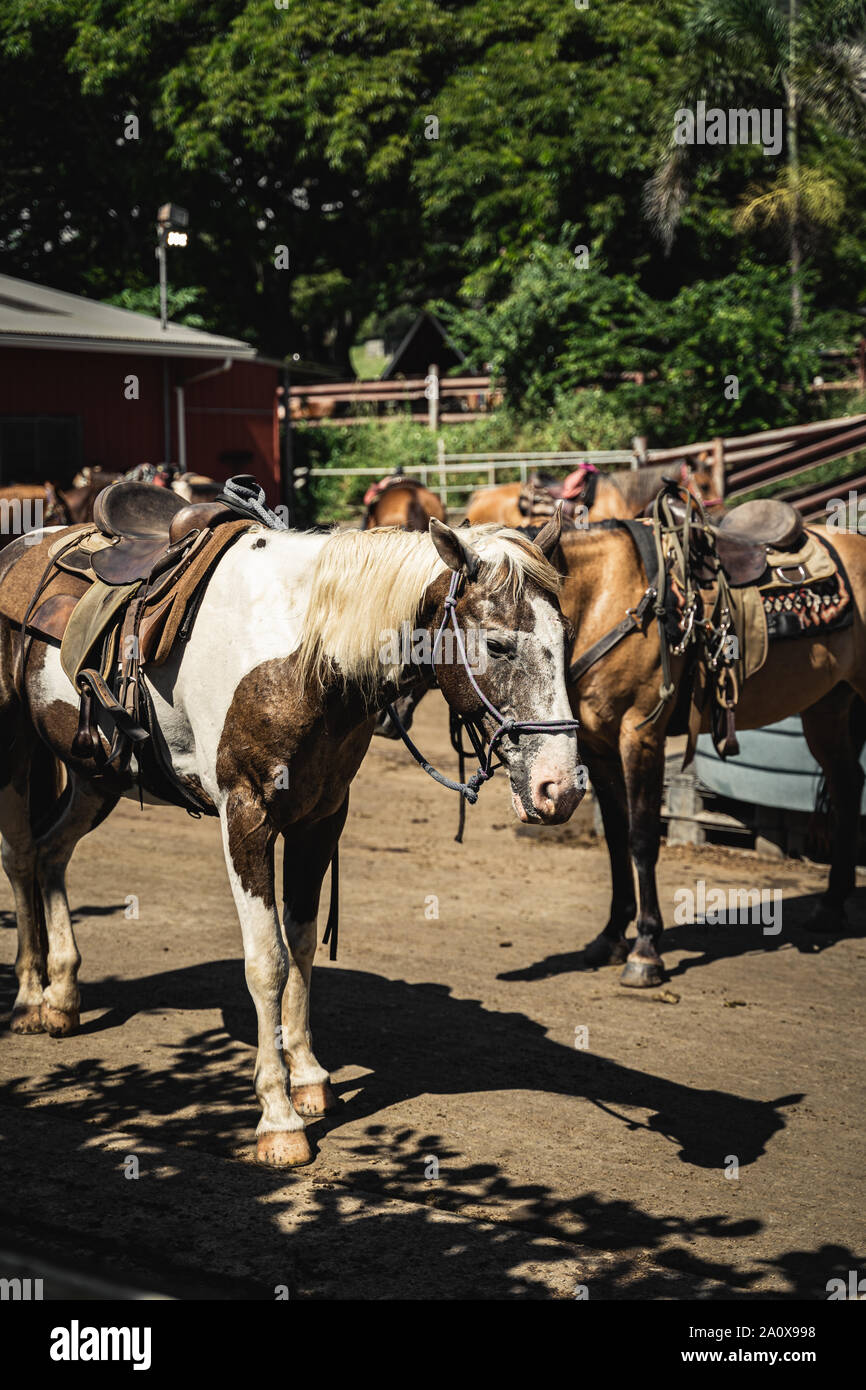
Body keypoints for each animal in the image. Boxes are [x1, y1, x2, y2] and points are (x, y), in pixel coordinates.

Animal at [0, 512, 582, 1166]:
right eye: (499, 644)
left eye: (568, 637)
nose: (560, 788)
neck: (304, 655)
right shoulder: (245, 816)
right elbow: (267, 962)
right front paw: (278, 1118)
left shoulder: (321, 817)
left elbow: (301, 945)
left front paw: (308, 1077)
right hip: (14, 745)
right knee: (20, 854)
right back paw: (28, 999)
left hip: (97, 775)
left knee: (51, 852)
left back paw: (61, 997)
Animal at [381, 514, 866, 988]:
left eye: (496, 645)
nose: (386, 710)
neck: (605, 599)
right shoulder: (597, 749)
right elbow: (615, 836)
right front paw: (612, 936)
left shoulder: (640, 737)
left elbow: (642, 837)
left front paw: (646, 949)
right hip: (827, 706)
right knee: (846, 783)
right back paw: (830, 906)